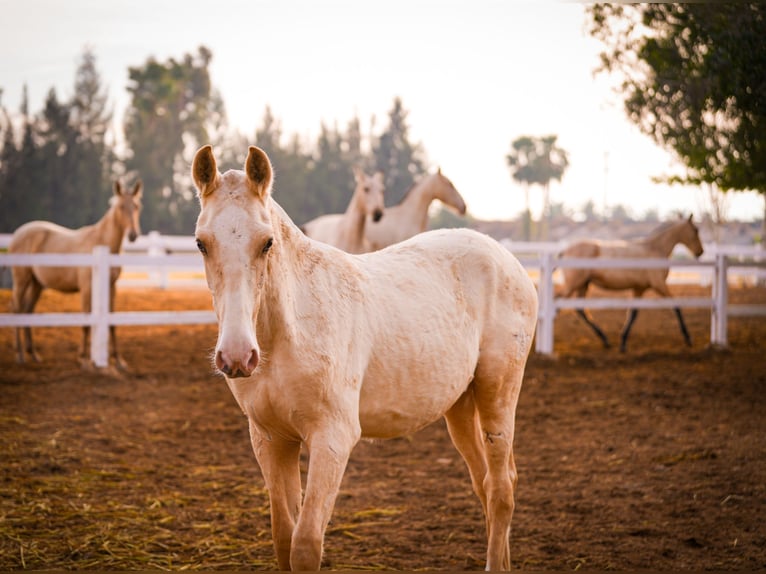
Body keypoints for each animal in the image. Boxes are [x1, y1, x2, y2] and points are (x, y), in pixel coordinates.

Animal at [9, 180, 144, 368]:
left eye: (137, 206)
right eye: (121, 207)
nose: (133, 235)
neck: (101, 243)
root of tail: (18, 234)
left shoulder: (111, 287)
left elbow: (111, 322)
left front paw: (119, 360)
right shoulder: (87, 288)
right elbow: (86, 321)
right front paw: (83, 359)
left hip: (37, 284)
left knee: (27, 311)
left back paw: (33, 354)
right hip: (21, 280)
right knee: (16, 309)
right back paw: (20, 355)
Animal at [192, 145, 540, 572]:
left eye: (266, 242)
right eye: (201, 243)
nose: (238, 356)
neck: (289, 332)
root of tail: (509, 260)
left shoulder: (333, 439)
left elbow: (305, 544)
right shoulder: (272, 440)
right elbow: (283, 539)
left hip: (497, 395)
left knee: (502, 489)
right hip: (459, 406)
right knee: (488, 482)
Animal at [560, 215, 708, 354]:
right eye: (696, 230)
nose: (700, 252)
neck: (654, 249)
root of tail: (565, 250)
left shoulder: (639, 288)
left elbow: (633, 313)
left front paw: (623, 343)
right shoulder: (659, 285)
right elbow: (676, 306)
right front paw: (688, 338)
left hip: (583, 285)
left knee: (580, 310)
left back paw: (605, 340)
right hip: (574, 285)